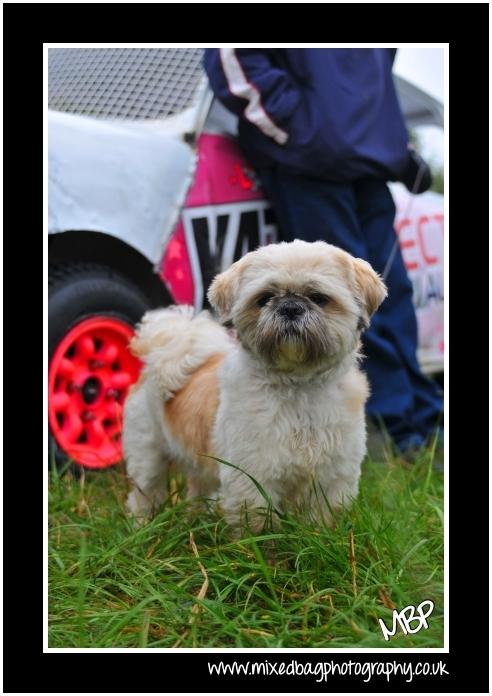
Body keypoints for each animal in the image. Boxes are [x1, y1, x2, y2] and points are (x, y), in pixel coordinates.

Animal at [122, 237, 384, 532]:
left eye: (319, 298)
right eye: (264, 299)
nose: (290, 307)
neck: (298, 387)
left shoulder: (332, 479)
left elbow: (323, 519)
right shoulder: (251, 477)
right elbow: (258, 524)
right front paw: (260, 545)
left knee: (198, 489)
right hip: (147, 453)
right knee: (145, 492)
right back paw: (141, 526)